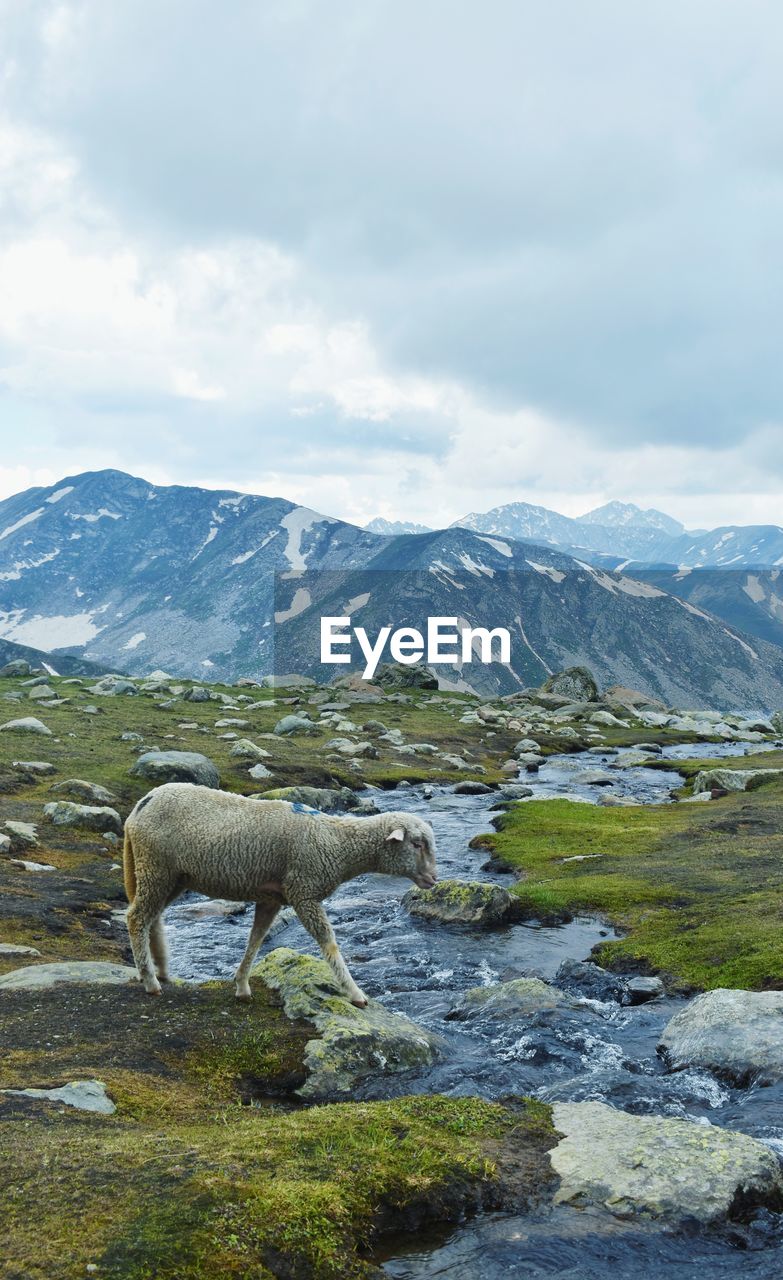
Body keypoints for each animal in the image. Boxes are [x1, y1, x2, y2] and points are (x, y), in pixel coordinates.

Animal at [125, 783, 437, 1003]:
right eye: (417, 844)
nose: (434, 879)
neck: (338, 844)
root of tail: (141, 804)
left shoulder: (271, 898)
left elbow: (257, 939)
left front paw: (241, 984)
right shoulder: (304, 892)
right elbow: (329, 943)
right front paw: (355, 993)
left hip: (172, 876)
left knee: (153, 919)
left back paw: (162, 970)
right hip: (155, 867)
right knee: (136, 917)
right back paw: (150, 981)